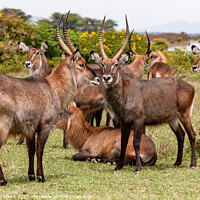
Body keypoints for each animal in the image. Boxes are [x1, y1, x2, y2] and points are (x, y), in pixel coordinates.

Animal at [0, 13, 99, 186]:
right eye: (82, 64)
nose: (97, 78)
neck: (53, 87)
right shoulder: (45, 126)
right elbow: (40, 150)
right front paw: (41, 177)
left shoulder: (30, 129)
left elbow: (30, 150)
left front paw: (31, 175)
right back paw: (3, 180)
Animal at [90, 15, 196, 173]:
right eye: (102, 63)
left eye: (116, 64)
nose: (107, 77)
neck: (125, 93)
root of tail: (190, 86)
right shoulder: (125, 121)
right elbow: (123, 142)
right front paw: (119, 166)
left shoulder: (139, 121)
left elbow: (136, 143)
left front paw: (138, 168)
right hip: (173, 118)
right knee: (181, 135)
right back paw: (177, 162)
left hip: (184, 114)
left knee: (192, 135)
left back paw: (192, 164)